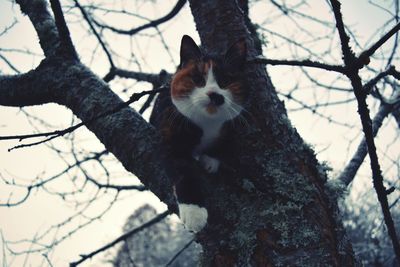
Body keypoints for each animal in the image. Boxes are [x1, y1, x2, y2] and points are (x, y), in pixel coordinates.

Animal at [150, 35, 247, 232]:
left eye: (225, 81)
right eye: (198, 79)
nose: (215, 95)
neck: (207, 123)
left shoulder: (230, 128)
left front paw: (210, 161)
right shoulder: (171, 138)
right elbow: (185, 174)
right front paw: (194, 213)